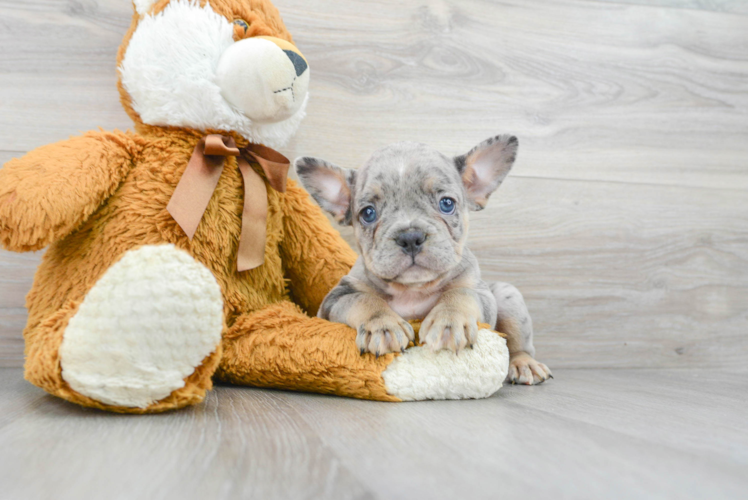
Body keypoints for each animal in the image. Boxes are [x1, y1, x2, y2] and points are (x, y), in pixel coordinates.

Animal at [296, 135, 552, 384]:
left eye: (447, 203)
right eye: (368, 213)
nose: (410, 237)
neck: (413, 289)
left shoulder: (479, 292)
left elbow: (460, 294)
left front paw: (450, 321)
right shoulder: (336, 298)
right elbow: (364, 300)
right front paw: (382, 326)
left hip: (509, 298)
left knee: (518, 344)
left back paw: (524, 364)